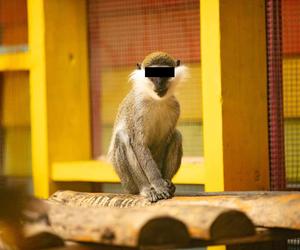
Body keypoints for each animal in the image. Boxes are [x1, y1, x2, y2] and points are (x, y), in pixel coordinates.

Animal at [107, 51, 188, 202]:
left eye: (165, 74)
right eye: (152, 75)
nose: (160, 85)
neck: (156, 100)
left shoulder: (176, 107)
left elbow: (165, 140)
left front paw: (164, 182)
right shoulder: (138, 108)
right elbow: (139, 144)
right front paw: (158, 184)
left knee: (176, 135)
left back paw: (168, 181)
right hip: (127, 182)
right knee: (123, 138)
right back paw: (146, 188)